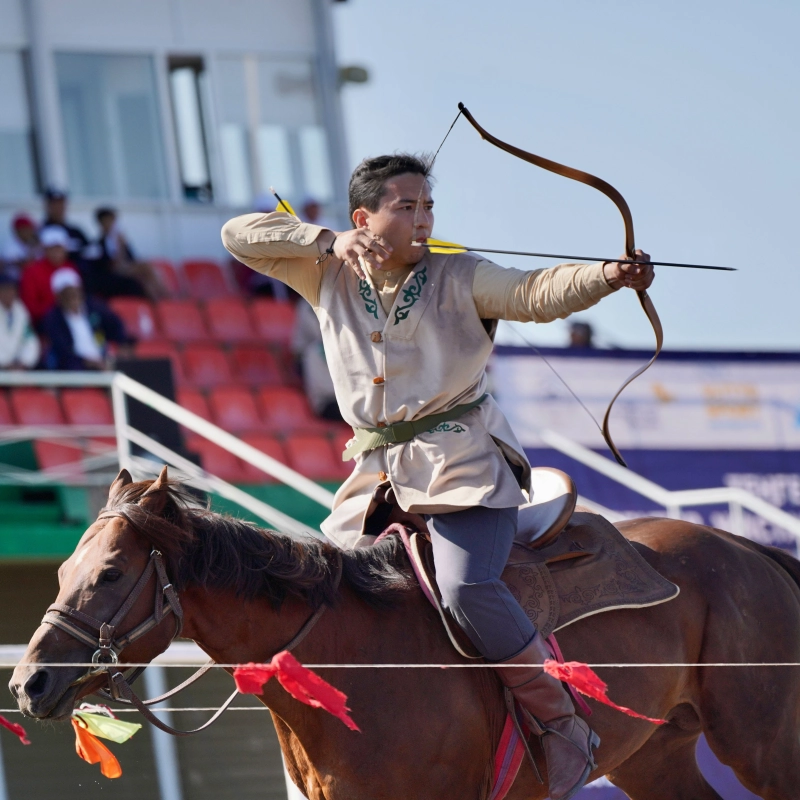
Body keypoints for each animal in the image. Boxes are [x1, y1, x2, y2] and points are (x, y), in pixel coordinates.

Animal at [7, 468, 800, 800]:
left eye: (111, 572)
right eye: (65, 569)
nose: (28, 682)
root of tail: (748, 548)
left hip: (762, 749)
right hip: (655, 760)